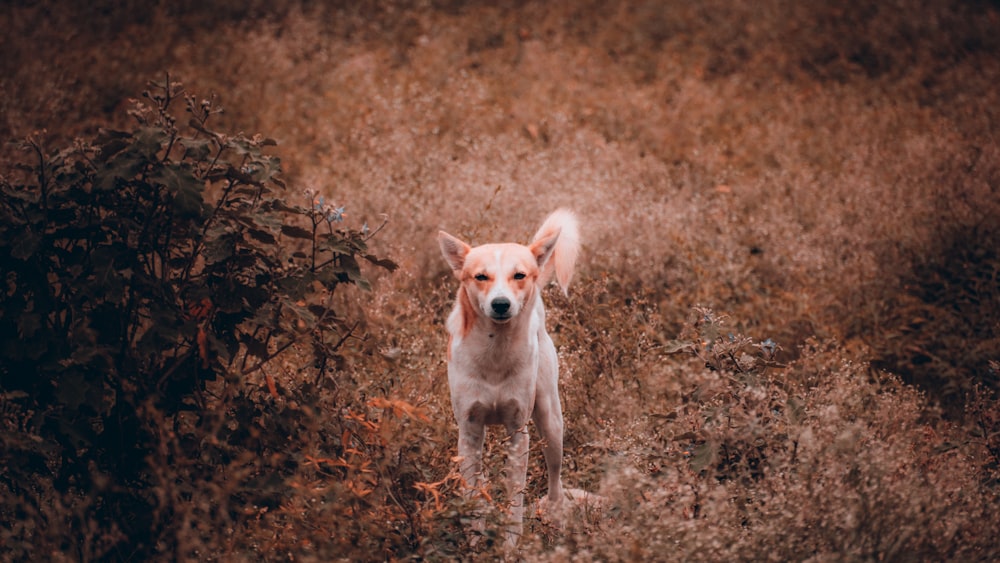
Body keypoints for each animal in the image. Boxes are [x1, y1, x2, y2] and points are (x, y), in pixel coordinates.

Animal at [436, 208, 580, 548]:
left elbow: (516, 497)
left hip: (551, 423)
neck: (495, 352)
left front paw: (511, 546)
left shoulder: (518, 432)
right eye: (481, 277)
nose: (501, 304)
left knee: (555, 478)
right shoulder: (469, 431)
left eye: (519, 275)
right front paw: (475, 542)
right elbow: (473, 492)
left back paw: (556, 522)